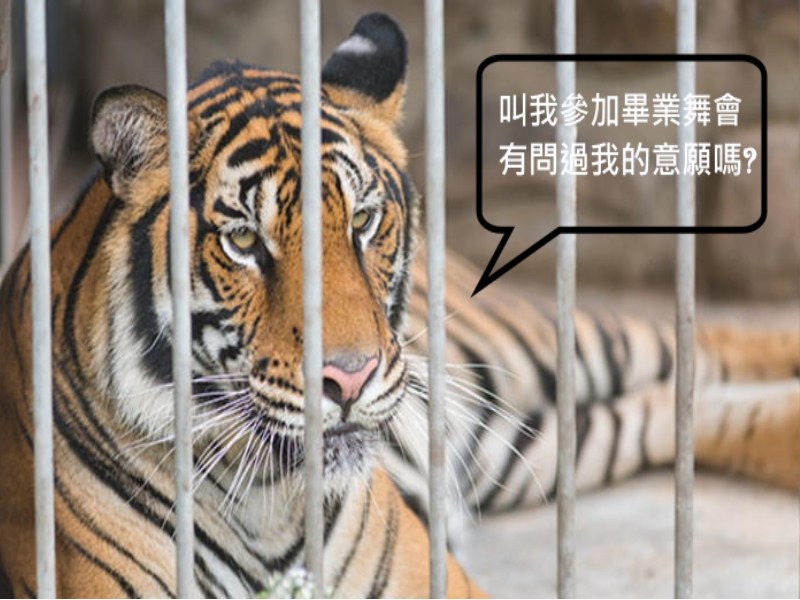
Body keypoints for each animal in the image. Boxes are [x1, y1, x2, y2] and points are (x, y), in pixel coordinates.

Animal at [0, 11, 798, 599]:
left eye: (363, 221)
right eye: (244, 240)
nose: (348, 379)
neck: (266, 503)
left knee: (700, 345)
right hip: (516, 439)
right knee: (678, 404)